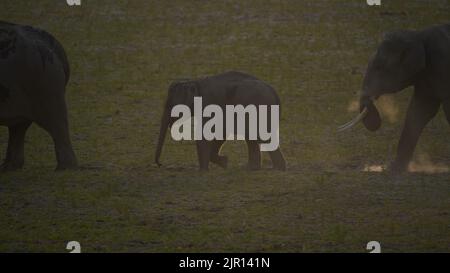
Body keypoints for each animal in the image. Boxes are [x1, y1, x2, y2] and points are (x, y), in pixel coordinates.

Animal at [156, 71, 286, 171]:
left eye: (170, 104)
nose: (160, 164)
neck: (195, 82)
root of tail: (275, 93)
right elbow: (220, 133)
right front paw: (224, 162)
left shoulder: (208, 104)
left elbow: (208, 134)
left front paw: (205, 170)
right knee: (252, 138)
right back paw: (253, 168)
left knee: (261, 138)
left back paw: (276, 169)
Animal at [338, 23, 450, 172]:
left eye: (379, 67)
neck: (418, 36)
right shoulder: (424, 77)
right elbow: (420, 111)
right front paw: (395, 169)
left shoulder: (442, 65)